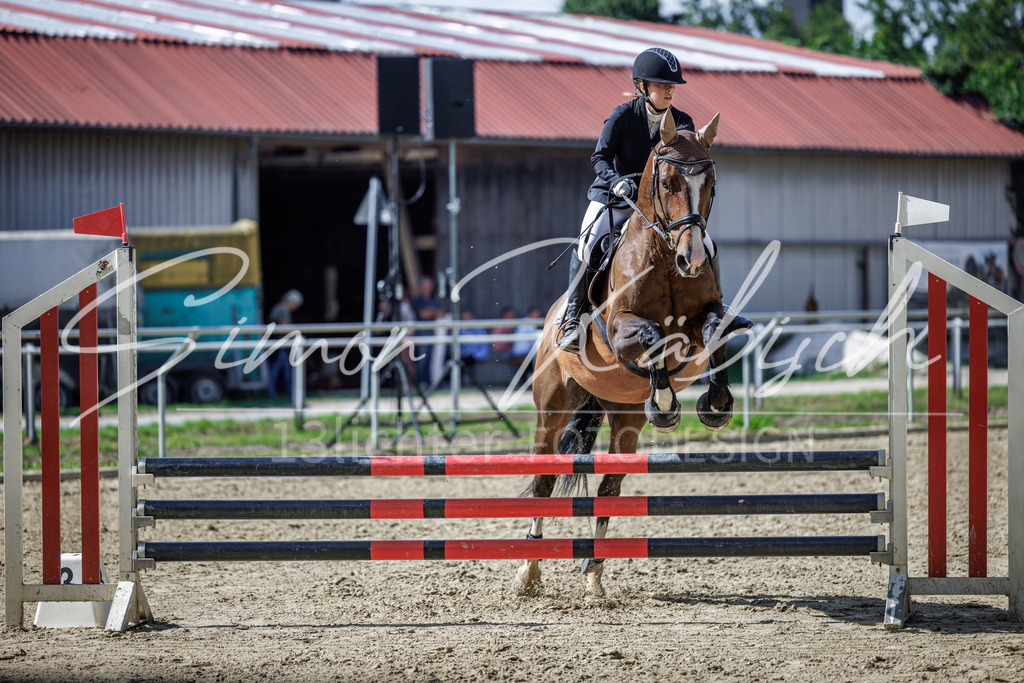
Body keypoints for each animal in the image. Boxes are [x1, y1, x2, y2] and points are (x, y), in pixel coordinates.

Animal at [515, 111, 748, 598]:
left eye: (712, 182)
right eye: (667, 181)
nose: (692, 259)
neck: (664, 255)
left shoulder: (705, 320)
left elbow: (715, 330)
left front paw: (715, 403)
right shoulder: (623, 329)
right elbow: (654, 334)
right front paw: (665, 402)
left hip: (623, 419)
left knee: (608, 487)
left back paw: (593, 574)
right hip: (551, 407)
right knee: (544, 478)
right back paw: (528, 571)